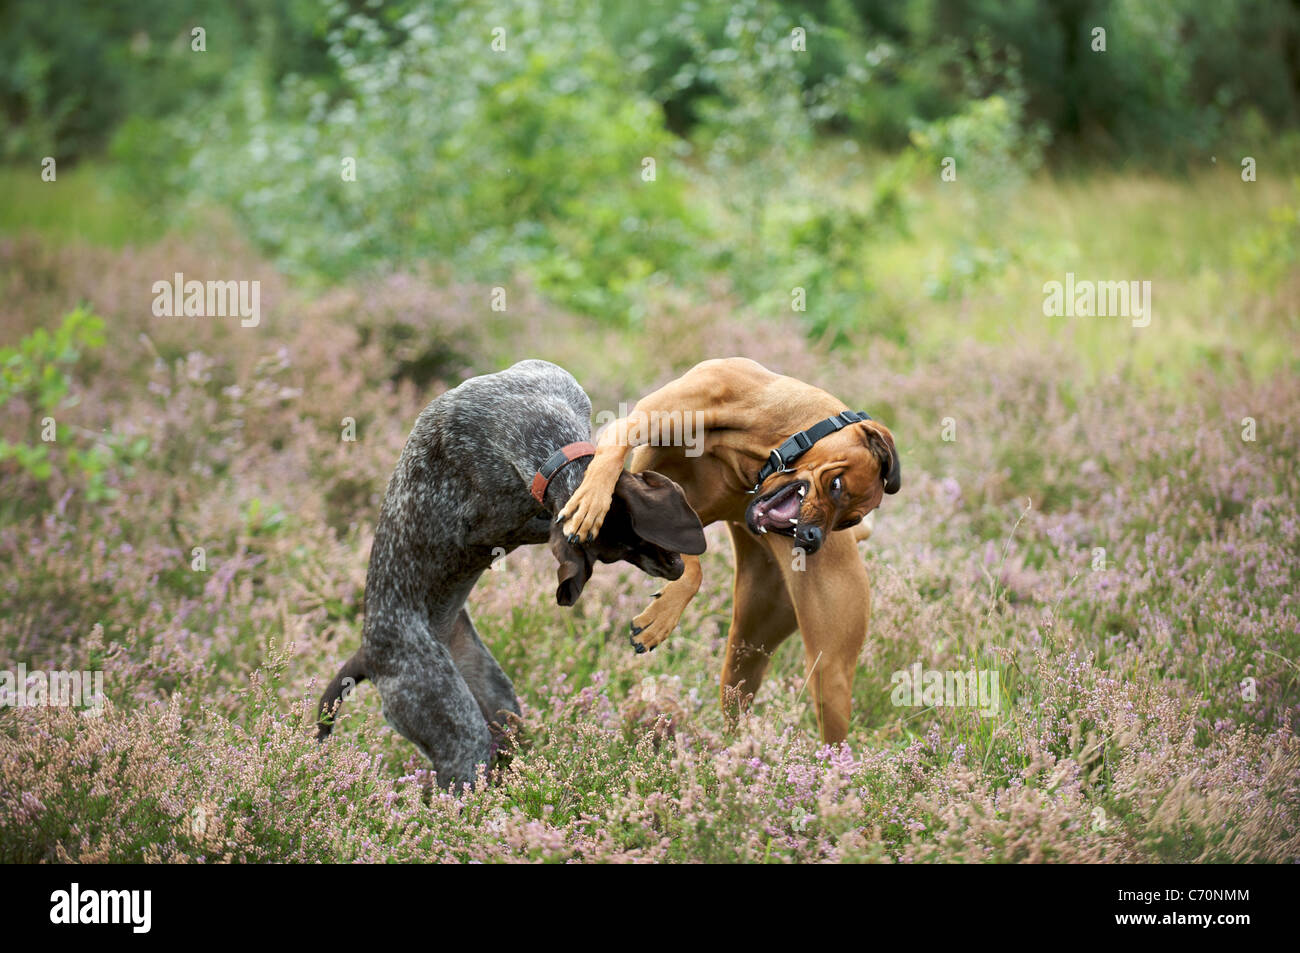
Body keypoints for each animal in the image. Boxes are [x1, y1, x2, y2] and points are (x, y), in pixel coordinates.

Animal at [318, 358, 707, 790]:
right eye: (616, 554)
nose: (674, 569)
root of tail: (367, 653)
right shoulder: (494, 526)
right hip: (455, 727)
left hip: (500, 705)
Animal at [559, 356, 904, 743]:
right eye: (836, 485)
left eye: (848, 520)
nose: (813, 540)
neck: (764, 442)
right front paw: (592, 499)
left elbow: (694, 572)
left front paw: (659, 619)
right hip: (746, 653)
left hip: (828, 673)